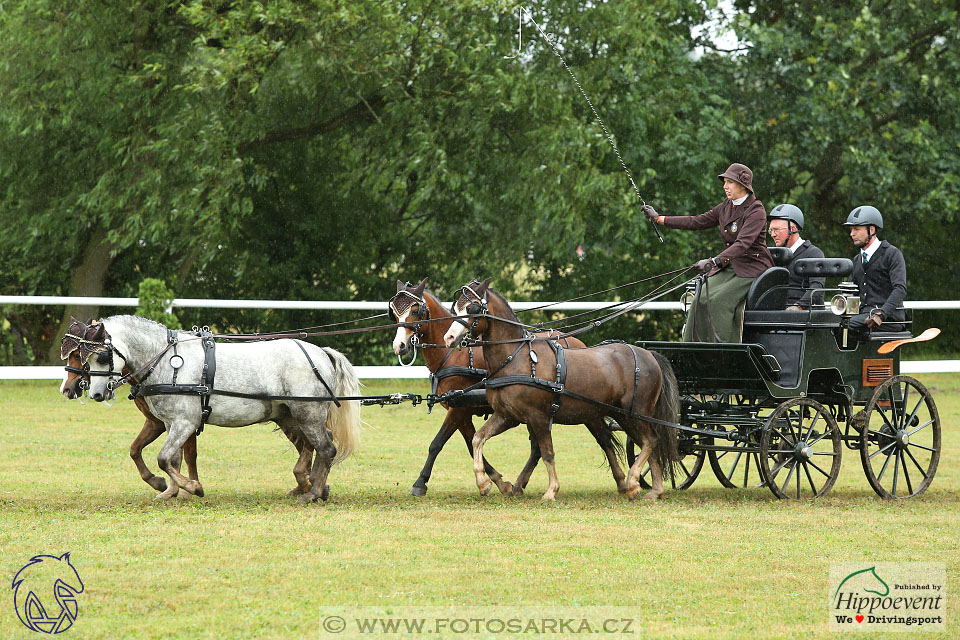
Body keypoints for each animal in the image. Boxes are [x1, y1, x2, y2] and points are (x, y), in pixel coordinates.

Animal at [80, 318, 360, 502]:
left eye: (102, 356)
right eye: (83, 357)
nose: (96, 394)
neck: (167, 361)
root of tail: (320, 353)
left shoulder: (185, 422)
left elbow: (163, 458)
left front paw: (194, 488)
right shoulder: (172, 423)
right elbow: (173, 459)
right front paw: (171, 491)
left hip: (307, 413)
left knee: (326, 448)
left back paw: (313, 493)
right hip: (291, 416)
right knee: (313, 447)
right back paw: (310, 485)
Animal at [392, 278, 628, 496]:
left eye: (415, 310)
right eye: (394, 313)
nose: (399, 346)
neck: (453, 355)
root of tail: (578, 343)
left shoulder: (460, 408)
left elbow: (438, 443)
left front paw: (420, 483)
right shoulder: (461, 410)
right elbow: (471, 442)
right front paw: (496, 481)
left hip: (586, 409)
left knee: (603, 439)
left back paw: (621, 481)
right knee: (538, 448)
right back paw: (519, 485)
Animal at [444, 278, 684, 500]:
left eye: (472, 308)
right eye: (455, 308)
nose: (449, 338)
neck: (516, 358)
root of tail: (648, 354)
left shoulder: (538, 417)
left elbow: (547, 453)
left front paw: (551, 490)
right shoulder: (507, 415)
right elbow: (478, 438)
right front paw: (483, 482)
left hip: (636, 413)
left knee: (651, 441)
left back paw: (635, 482)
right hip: (622, 415)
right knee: (647, 443)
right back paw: (653, 490)